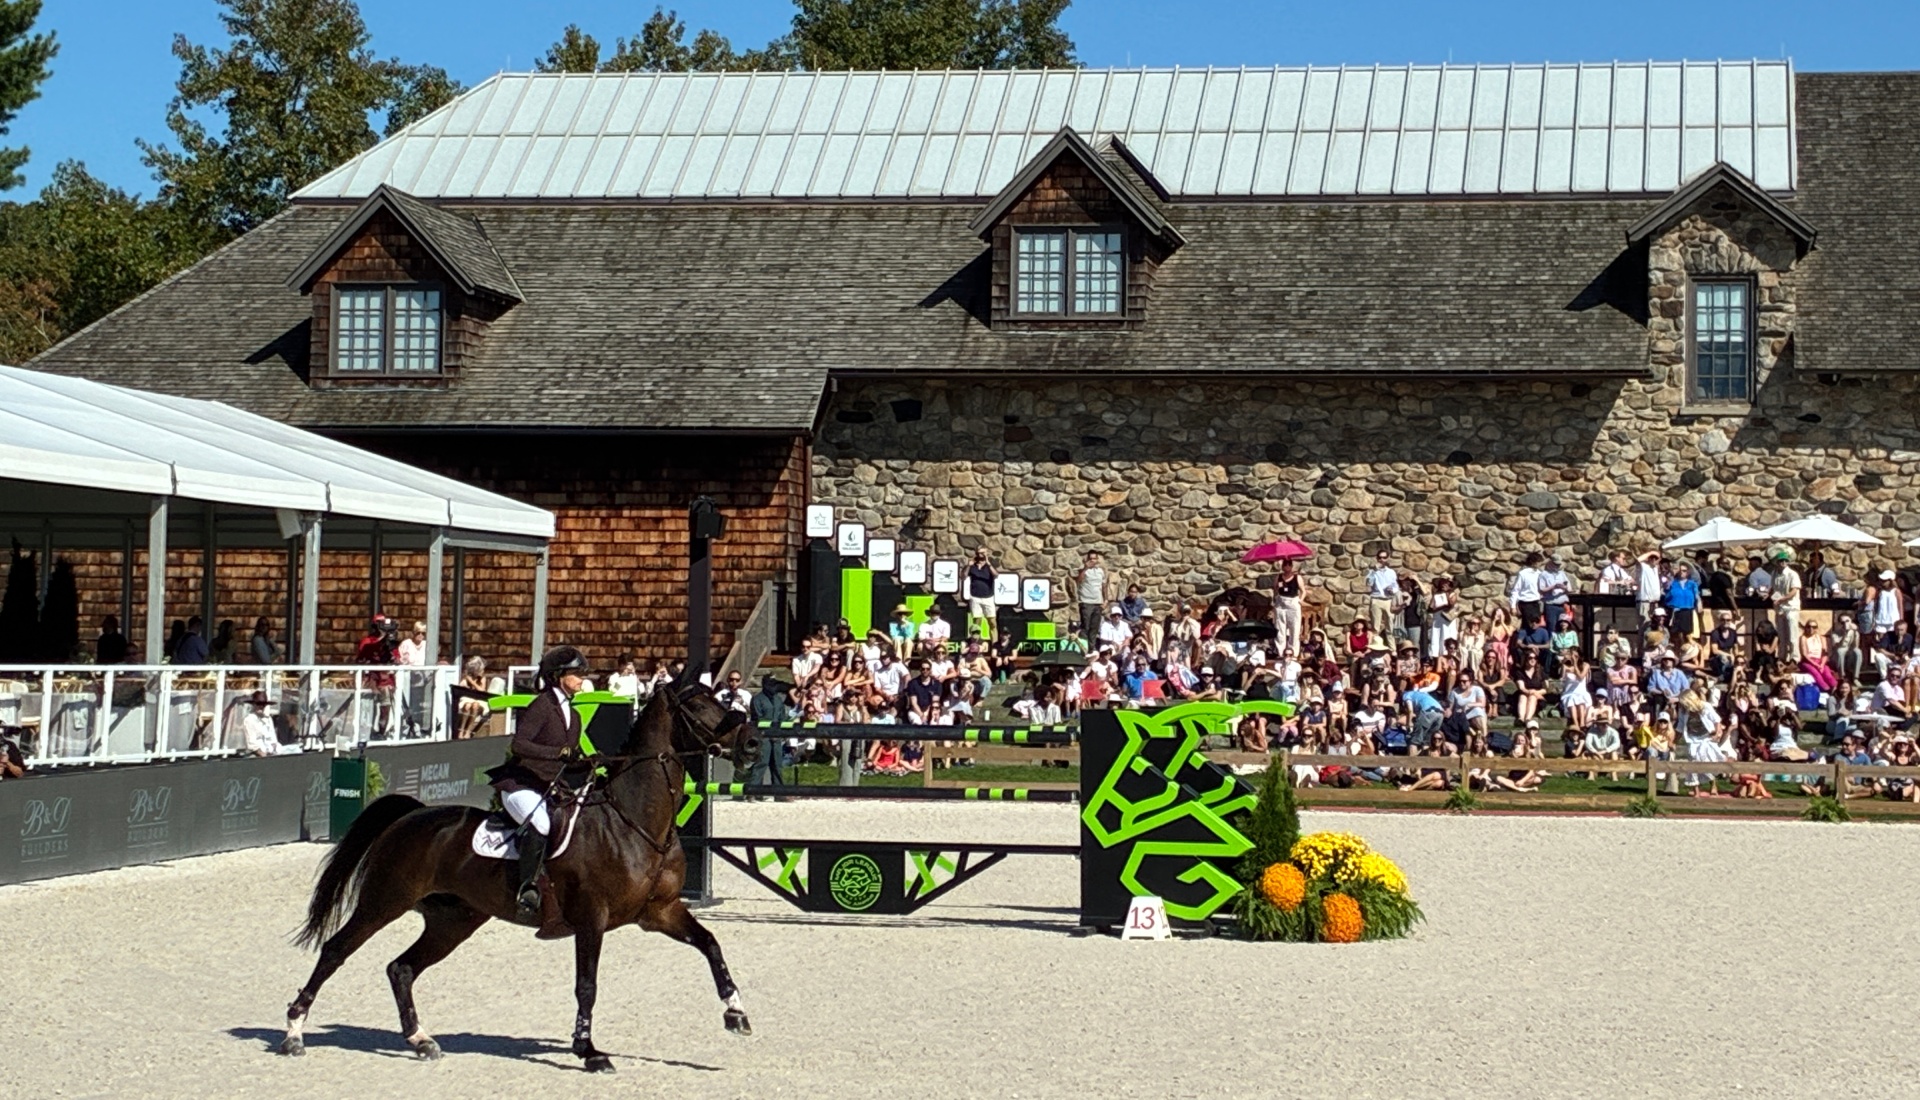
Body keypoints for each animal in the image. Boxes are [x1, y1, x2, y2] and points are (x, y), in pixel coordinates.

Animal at [278, 681, 753, 1073]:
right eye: (700, 707)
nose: (749, 745)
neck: (634, 820)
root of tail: (412, 815)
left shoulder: (660, 912)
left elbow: (711, 944)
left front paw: (736, 1014)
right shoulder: (592, 918)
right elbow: (587, 985)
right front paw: (589, 1051)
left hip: (453, 920)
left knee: (402, 968)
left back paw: (421, 1040)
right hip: (385, 901)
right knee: (336, 950)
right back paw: (294, 1033)